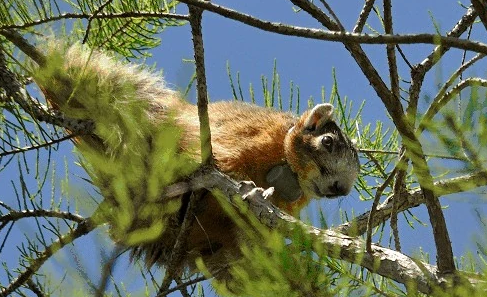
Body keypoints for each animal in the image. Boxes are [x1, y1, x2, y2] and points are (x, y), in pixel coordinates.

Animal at [28, 41, 360, 280]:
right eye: (328, 142)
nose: (339, 188)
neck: (288, 169)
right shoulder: (251, 135)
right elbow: (224, 164)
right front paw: (253, 190)